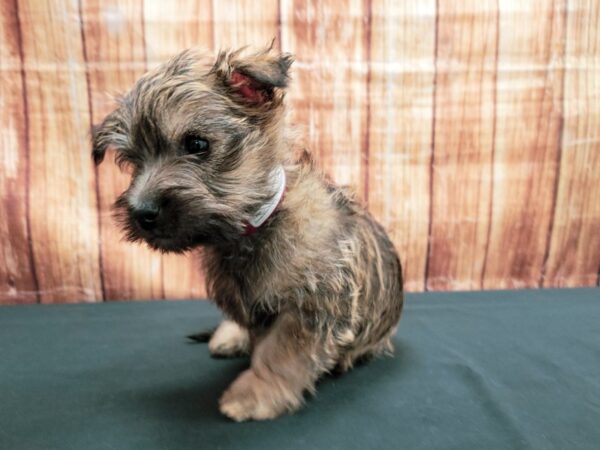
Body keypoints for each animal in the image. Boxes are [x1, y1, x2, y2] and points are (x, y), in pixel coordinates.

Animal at [92, 46, 404, 422]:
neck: (250, 232)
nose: (142, 213)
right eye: (133, 161)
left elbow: (279, 356)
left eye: (197, 144)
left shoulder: (308, 311)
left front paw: (253, 395)